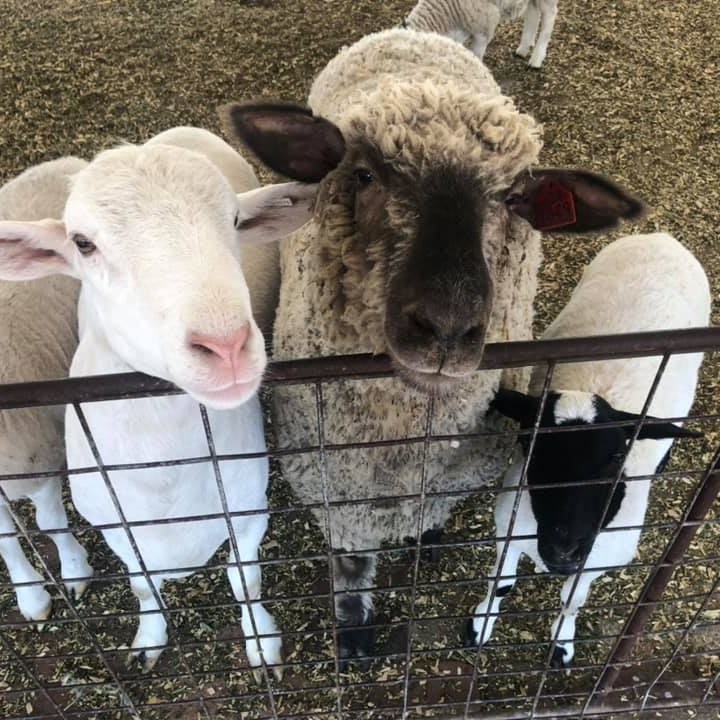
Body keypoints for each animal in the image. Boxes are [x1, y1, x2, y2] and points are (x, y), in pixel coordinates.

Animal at [0, 127, 317, 674]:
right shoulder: (117, 528)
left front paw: (261, 644)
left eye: (236, 221)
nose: (226, 346)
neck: (165, 472)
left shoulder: (249, 511)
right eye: (83, 244)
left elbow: (244, 579)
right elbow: (142, 587)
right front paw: (149, 638)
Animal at [225, 27, 644, 665]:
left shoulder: (445, 479)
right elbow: (351, 566)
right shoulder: (336, 489)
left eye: (515, 198)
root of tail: (414, 34)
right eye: (365, 175)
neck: (399, 452)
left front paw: (425, 542)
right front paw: (353, 635)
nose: (446, 328)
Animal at [402, 0, 559, 68]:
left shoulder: (484, 26)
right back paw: (524, 48)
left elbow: (476, 55)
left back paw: (537, 58)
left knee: (549, 16)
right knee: (533, 11)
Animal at [466, 232, 710, 668]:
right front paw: (481, 624)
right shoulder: (508, 528)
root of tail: (662, 237)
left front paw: (562, 642)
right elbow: (501, 582)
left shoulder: (598, 560)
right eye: (530, 445)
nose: (564, 550)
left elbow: (572, 599)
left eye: (616, 456)